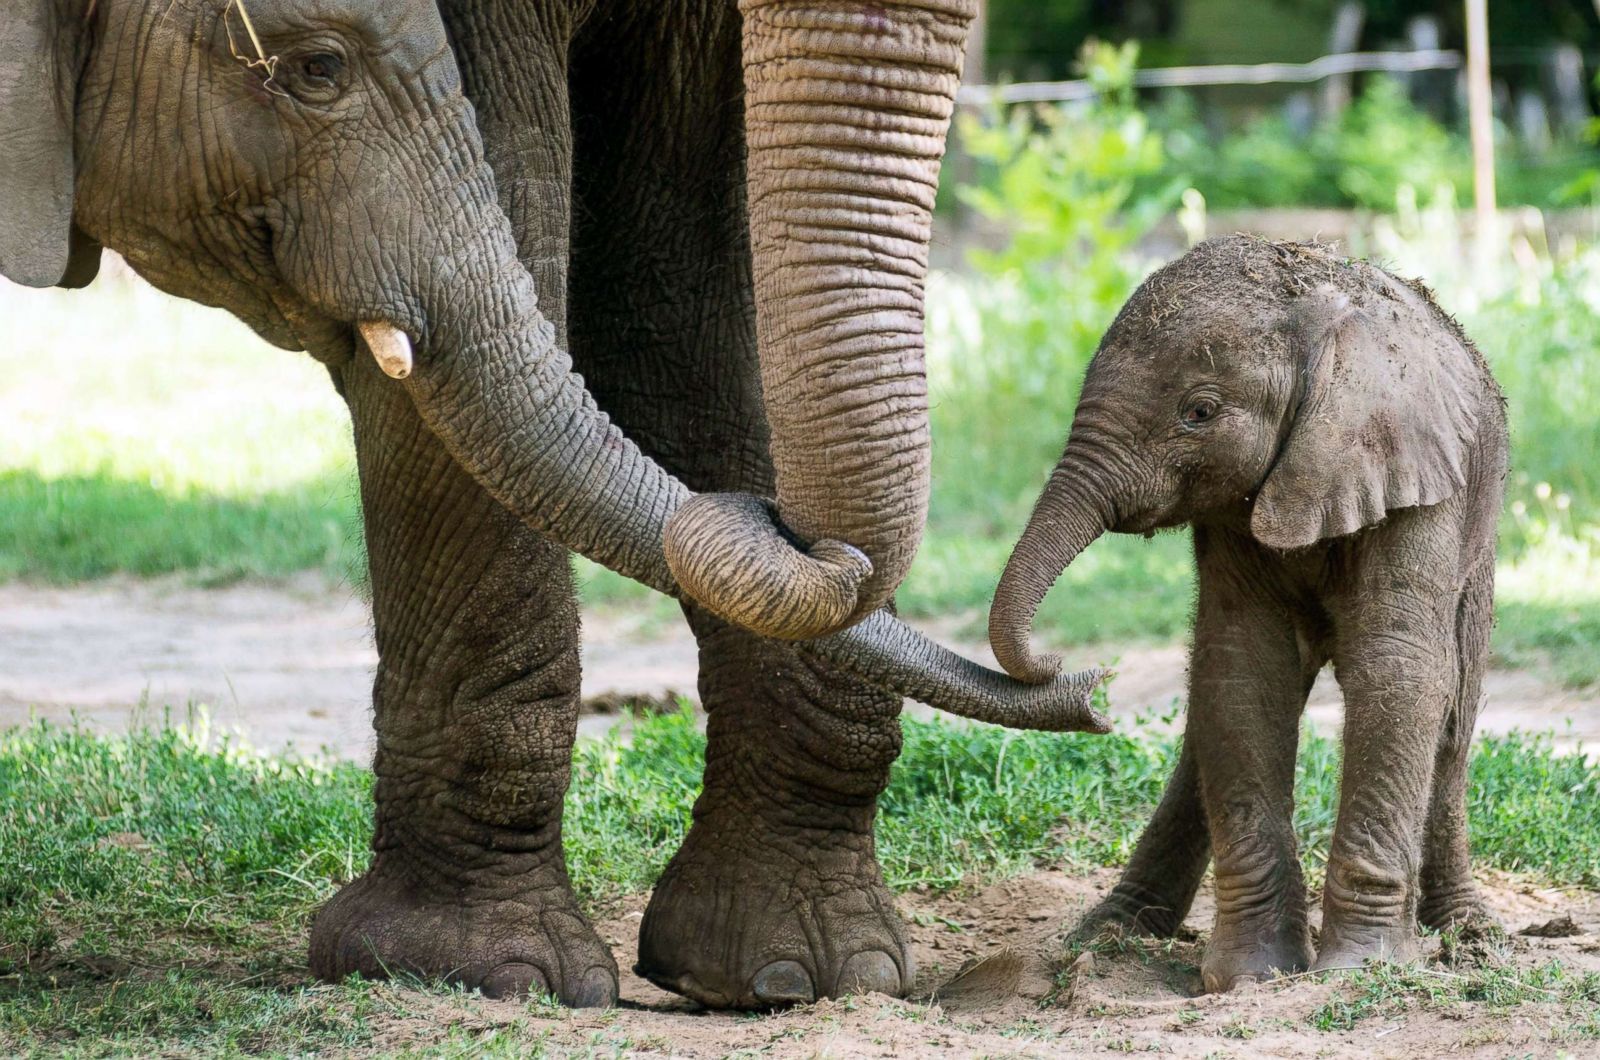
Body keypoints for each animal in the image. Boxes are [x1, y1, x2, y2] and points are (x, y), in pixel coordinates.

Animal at [992, 236, 1504, 992]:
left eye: (1199, 412)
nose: (1072, 674)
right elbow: (1243, 673)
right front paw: (1252, 977)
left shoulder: (1418, 477)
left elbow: (1398, 671)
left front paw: (1357, 969)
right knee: (1203, 733)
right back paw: (1108, 935)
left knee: (1453, 721)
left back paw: (1470, 937)